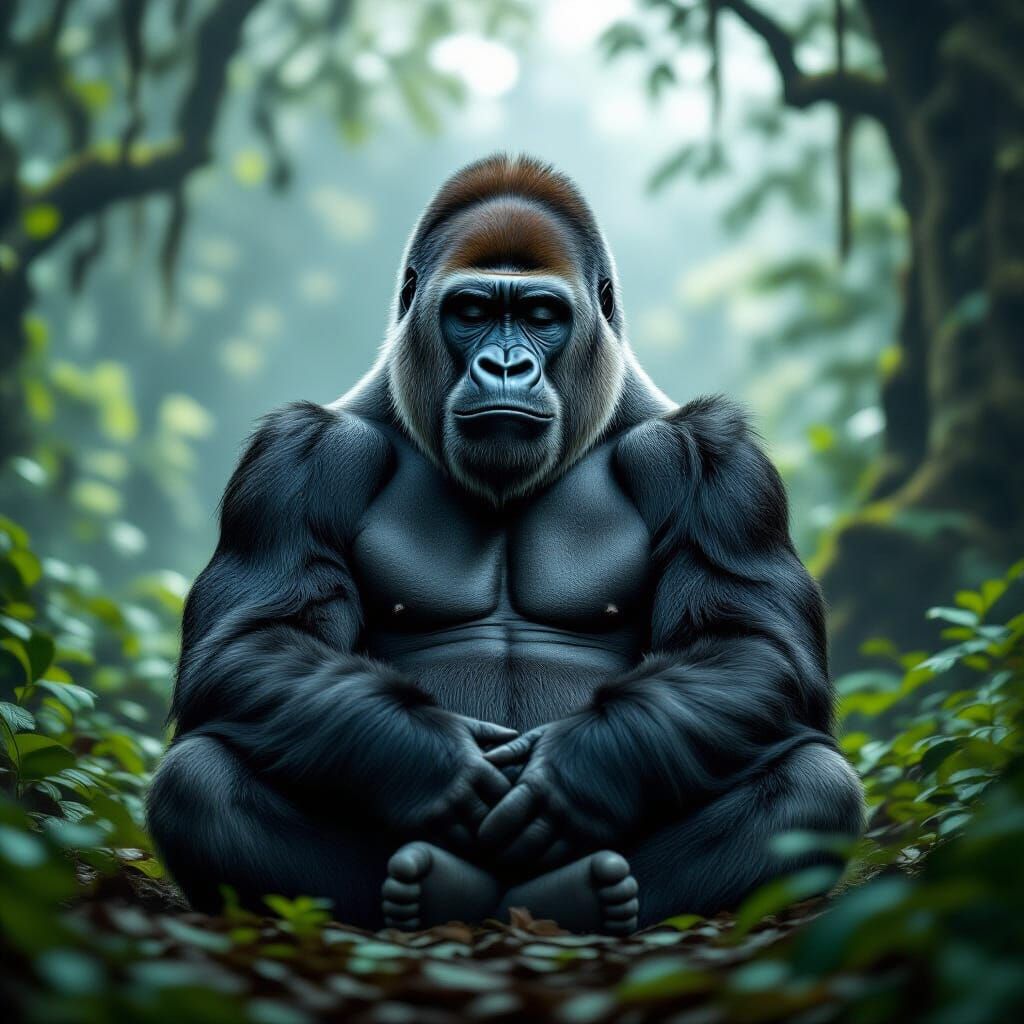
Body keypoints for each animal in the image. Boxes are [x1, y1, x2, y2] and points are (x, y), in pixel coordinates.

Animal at [147, 154, 864, 934]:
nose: (506, 367)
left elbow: (750, 645)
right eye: (472, 312)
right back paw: (435, 888)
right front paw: (430, 759)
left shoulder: (716, 460)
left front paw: (579, 768)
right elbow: (253, 642)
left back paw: (580, 894)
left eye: (542, 316)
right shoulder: (296, 458)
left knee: (815, 785)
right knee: (197, 779)